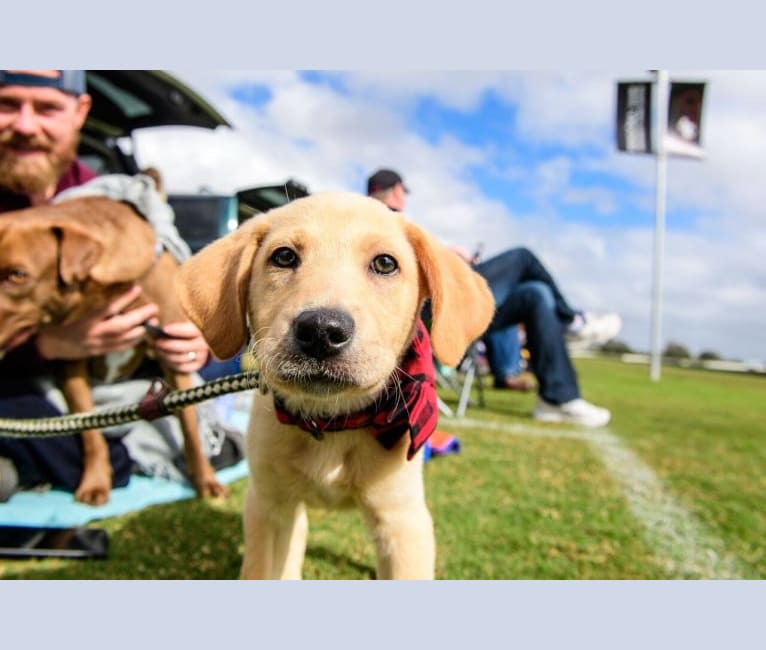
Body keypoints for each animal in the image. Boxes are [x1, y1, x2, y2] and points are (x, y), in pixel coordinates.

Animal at [0, 195, 228, 504]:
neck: (112, 288)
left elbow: (191, 429)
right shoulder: (72, 363)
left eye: (18, 275)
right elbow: (90, 433)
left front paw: (206, 481)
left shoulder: (174, 352)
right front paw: (95, 483)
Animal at [177, 192, 496, 576]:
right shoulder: (267, 505)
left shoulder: (404, 522)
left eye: (385, 263)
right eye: (283, 256)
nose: (321, 332)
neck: (331, 421)